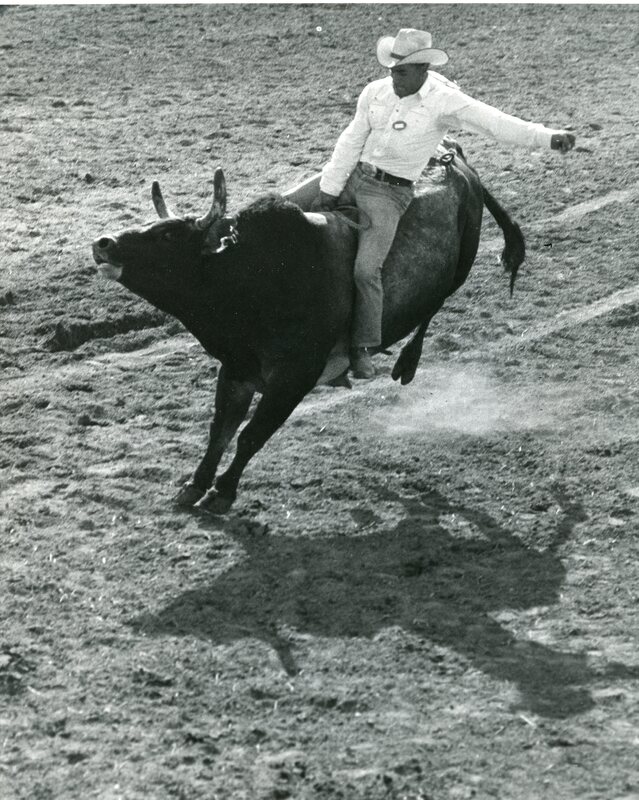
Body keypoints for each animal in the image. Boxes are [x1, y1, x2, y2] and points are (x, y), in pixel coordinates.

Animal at [92, 146, 524, 514]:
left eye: (168, 235)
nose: (104, 242)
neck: (255, 276)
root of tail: (455, 160)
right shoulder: (237, 369)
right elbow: (222, 430)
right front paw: (195, 485)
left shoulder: (295, 377)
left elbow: (252, 434)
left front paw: (222, 492)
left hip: (462, 261)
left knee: (435, 305)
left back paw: (406, 363)